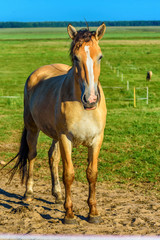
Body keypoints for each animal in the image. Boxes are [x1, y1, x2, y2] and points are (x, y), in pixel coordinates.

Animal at [5, 23, 107, 224]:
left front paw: (93, 213)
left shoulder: (96, 139)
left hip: (55, 136)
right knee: (32, 155)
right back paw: (28, 193)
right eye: (75, 58)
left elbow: (91, 174)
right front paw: (69, 215)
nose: (91, 99)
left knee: (53, 157)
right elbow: (68, 174)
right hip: (33, 128)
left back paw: (58, 194)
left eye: (99, 56)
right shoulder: (66, 138)